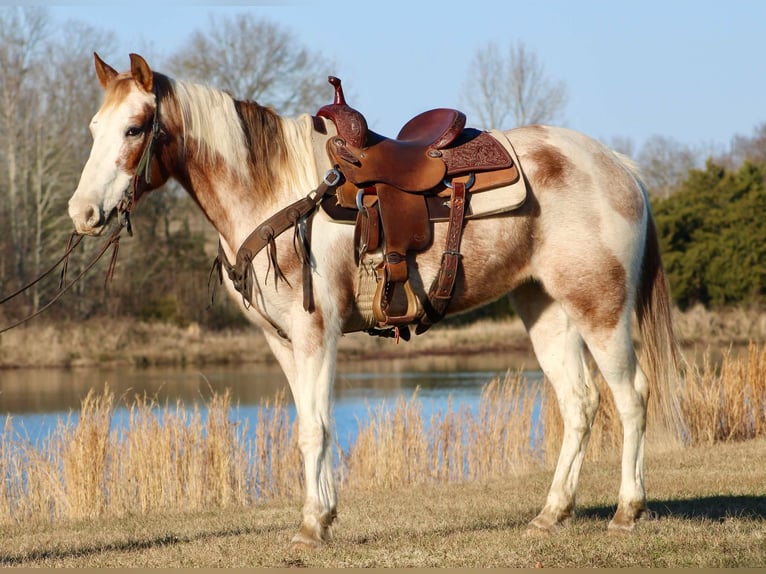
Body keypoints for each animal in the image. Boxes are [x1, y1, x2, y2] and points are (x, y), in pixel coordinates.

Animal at [68, 53, 680, 549]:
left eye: (135, 128)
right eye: (94, 127)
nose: (82, 213)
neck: (275, 192)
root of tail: (617, 165)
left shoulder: (317, 333)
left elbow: (314, 428)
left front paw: (311, 527)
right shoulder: (282, 342)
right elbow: (308, 424)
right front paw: (323, 515)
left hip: (600, 308)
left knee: (631, 396)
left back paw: (627, 511)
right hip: (545, 309)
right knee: (579, 403)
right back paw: (551, 514)